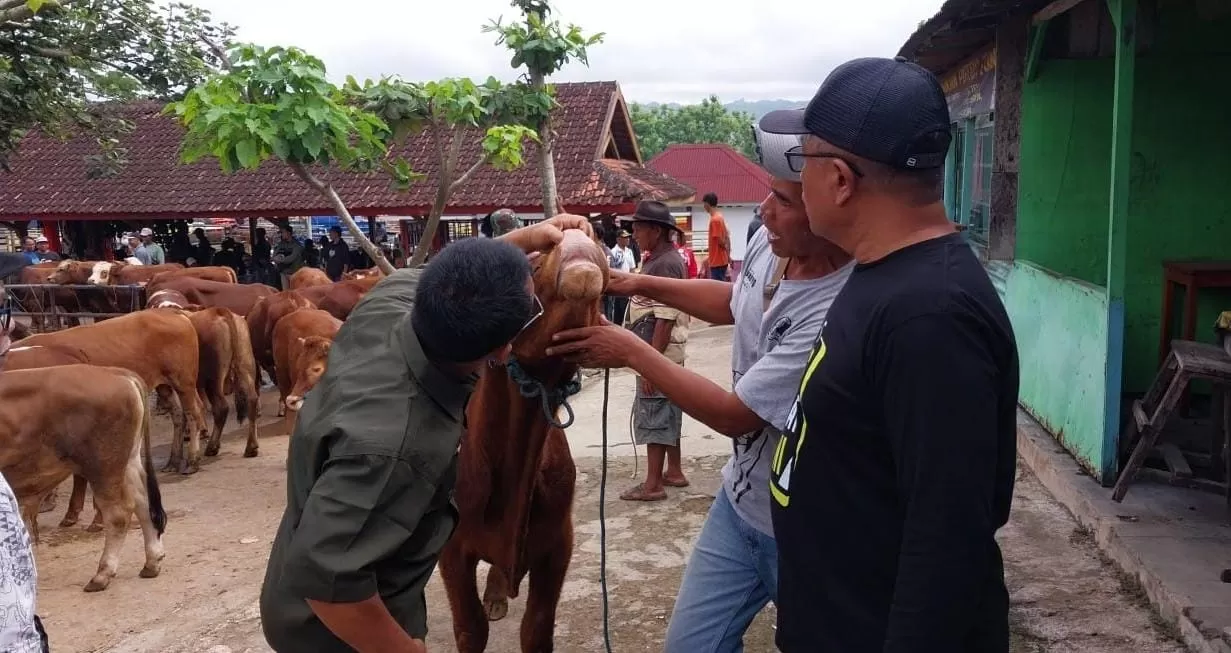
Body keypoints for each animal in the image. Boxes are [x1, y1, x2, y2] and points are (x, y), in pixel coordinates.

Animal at [0, 364, 166, 588]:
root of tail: (116, 373)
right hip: (128, 463)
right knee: (143, 503)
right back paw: (151, 562)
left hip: (103, 469)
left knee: (118, 514)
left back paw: (103, 573)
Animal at [18, 308, 206, 470]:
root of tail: (170, 311)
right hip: (165, 385)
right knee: (178, 415)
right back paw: (173, 460)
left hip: (184, 381)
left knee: (194, 413)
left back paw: (192, 459)